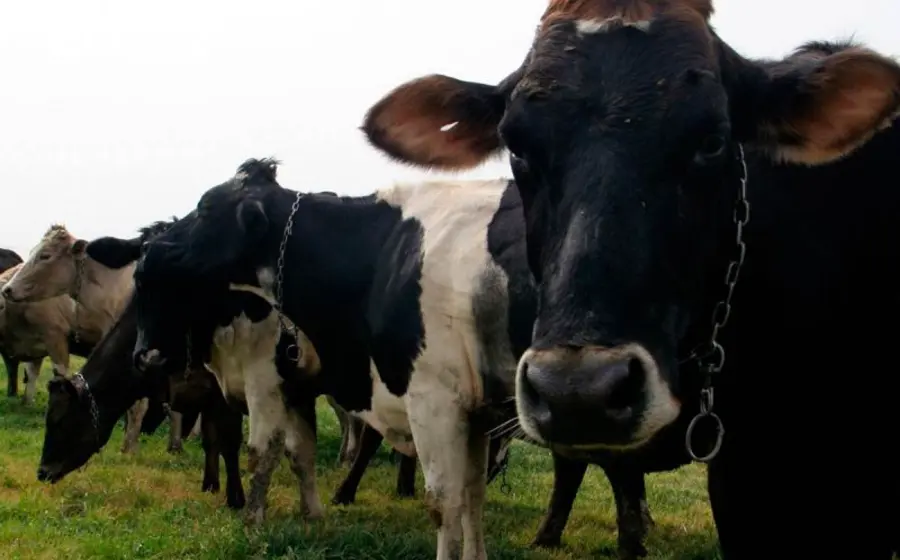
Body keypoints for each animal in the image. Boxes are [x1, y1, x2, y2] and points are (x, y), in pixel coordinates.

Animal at [123, 158, 704, 559]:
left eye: (204, 208)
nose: (158, 246)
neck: (384, 254)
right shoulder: (475, 411)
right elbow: (471, 497)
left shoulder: (430, 399)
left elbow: (442, 501)